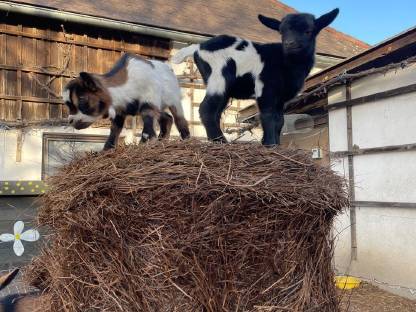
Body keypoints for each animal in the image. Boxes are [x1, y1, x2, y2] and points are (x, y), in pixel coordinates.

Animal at [171, 8, 338, 145]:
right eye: (281, 32)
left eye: (308, 31)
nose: (289, 44)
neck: (286, 62)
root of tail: (198, 47)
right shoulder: (265, 88)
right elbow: (268, 116)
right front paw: (270, 144)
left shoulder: (280, 97)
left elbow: (279, 120)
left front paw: (275, 144)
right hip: (218, 76)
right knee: (206, 109)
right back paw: (220, 141)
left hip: (221, 85)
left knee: (216, 111)